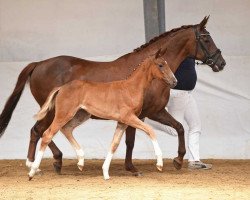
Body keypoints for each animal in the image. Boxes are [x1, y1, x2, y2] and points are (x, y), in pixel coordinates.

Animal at [28, 49, 178, 180]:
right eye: (160, 65)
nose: (174, 81)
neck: (131, 88)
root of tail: (61, 88)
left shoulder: (122, 122)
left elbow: (114, 144)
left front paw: (105, 173)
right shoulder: (129, 118)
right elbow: (150, 130)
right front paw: (159, 164)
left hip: (81, 115)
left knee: (66, 129)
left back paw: (80, 161)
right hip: (63, 114)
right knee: (47, 134)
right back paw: (33, 171)